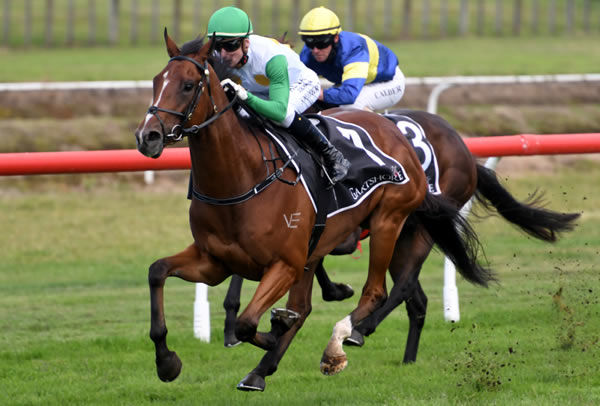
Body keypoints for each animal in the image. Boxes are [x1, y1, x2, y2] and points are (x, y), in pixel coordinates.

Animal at [135, 32, 492, 394]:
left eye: (188, 85)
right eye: (156, 81)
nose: (147, 136)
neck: (242, 177)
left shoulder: (286, 263)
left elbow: (249, 323)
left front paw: (271, 328)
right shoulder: (214, 262)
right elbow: (157, 271)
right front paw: (167, 362)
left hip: (391, 221)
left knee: (380, 291)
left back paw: (343, 339)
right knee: (370, 300)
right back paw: (262, 371)